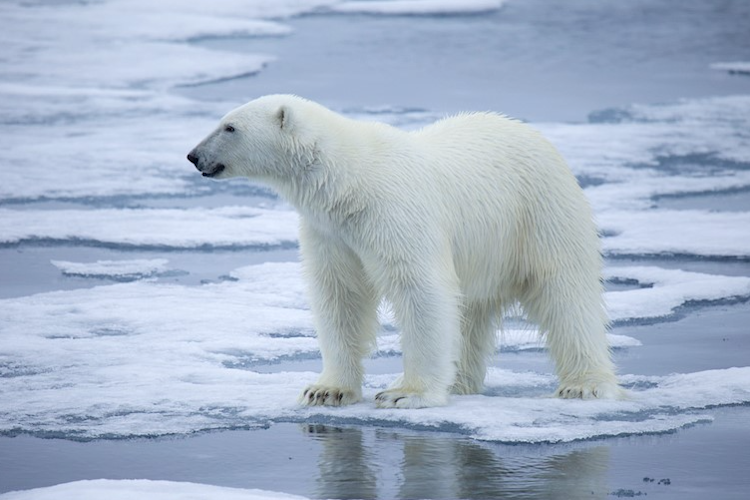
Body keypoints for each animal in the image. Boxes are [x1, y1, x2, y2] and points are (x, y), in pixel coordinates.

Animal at [187, 94, 622, 408]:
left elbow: (420, 289)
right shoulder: (330, 232)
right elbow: (340, 296)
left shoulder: (394, 212)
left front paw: (405, 393)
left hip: (538, 214)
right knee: (470, 311)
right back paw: (460, 381)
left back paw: (584, 385)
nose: (193, 156)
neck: (350, 182)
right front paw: (326, 390)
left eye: (229, 126)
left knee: (565, 293)